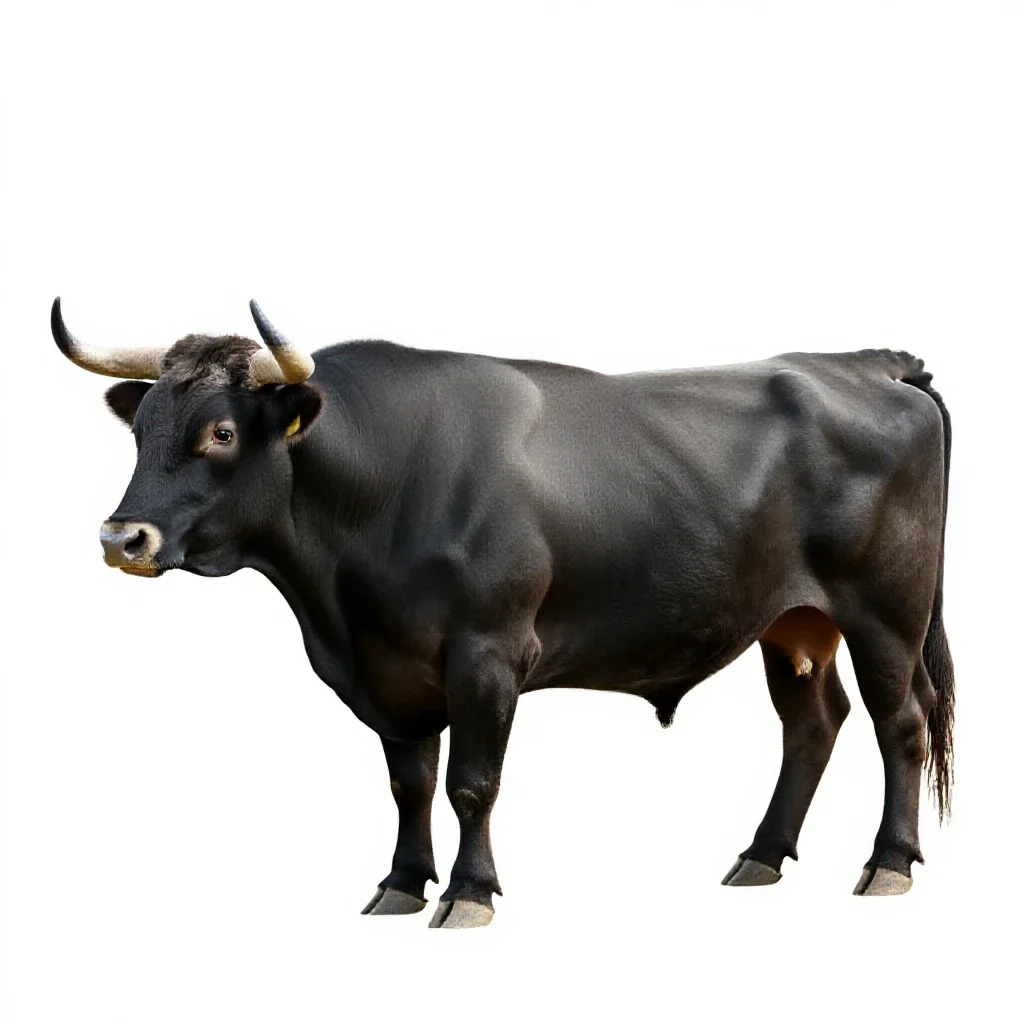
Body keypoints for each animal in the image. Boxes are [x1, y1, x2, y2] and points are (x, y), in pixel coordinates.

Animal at [51, 297, 954, 927]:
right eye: (143, 429)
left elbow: (472, 783)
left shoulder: (487, 654)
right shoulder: (387, 668)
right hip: (790, 621)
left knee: (900, 720)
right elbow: (409, 782)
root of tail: (867, 363)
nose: (121, 536)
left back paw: (889, 864)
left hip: (886, 611)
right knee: (813, 721)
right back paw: (762, 854)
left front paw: (469, 892)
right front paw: (400, 884)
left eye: (222, 434)